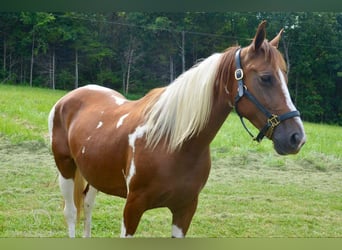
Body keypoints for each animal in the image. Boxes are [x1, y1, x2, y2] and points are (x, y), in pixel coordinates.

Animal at [47, 20, 304, 237]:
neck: (172, 142)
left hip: (94, 173)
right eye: (265, 78)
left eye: (285, 77)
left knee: (88, 204)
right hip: (66, 168)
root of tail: (69, 98)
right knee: (71, 212)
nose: (297, 138)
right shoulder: (132, 208)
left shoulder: (185, 210)